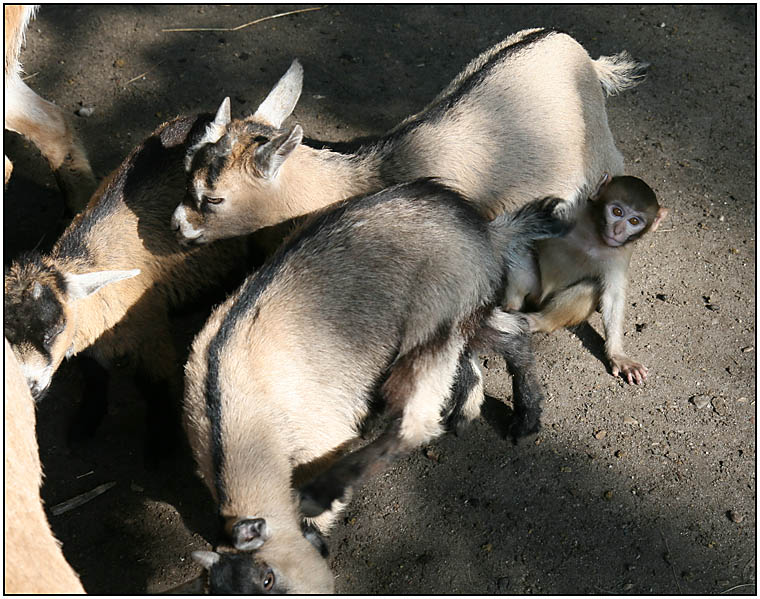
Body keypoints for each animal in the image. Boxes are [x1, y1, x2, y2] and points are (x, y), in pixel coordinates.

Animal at [5, 112, 249, 458]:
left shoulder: (151, 334)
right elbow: (94, 376)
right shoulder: (88, 340)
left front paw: (161, 443)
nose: (29, 388)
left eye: (54, 330)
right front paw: (87, 420)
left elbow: (155, 385)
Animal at [181, 179, 568, 596]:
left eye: (268, 578)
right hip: (464, 310)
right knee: (509, 335)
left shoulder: (322, 436)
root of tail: (483, 229)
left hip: (433, 316)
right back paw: (507, 415)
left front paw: (317, 510)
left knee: (416, 420)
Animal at [508, 176, 668, 386]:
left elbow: (612, 298)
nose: (618, 231)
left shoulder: (620, 254)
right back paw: (510, 309)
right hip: (536, 290)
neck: (596, 236)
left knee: (591, 286)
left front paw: (618, 356)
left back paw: (540, 321)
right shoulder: (567, 213)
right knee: (522, 250)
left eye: (634, 221)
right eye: (617, 211)